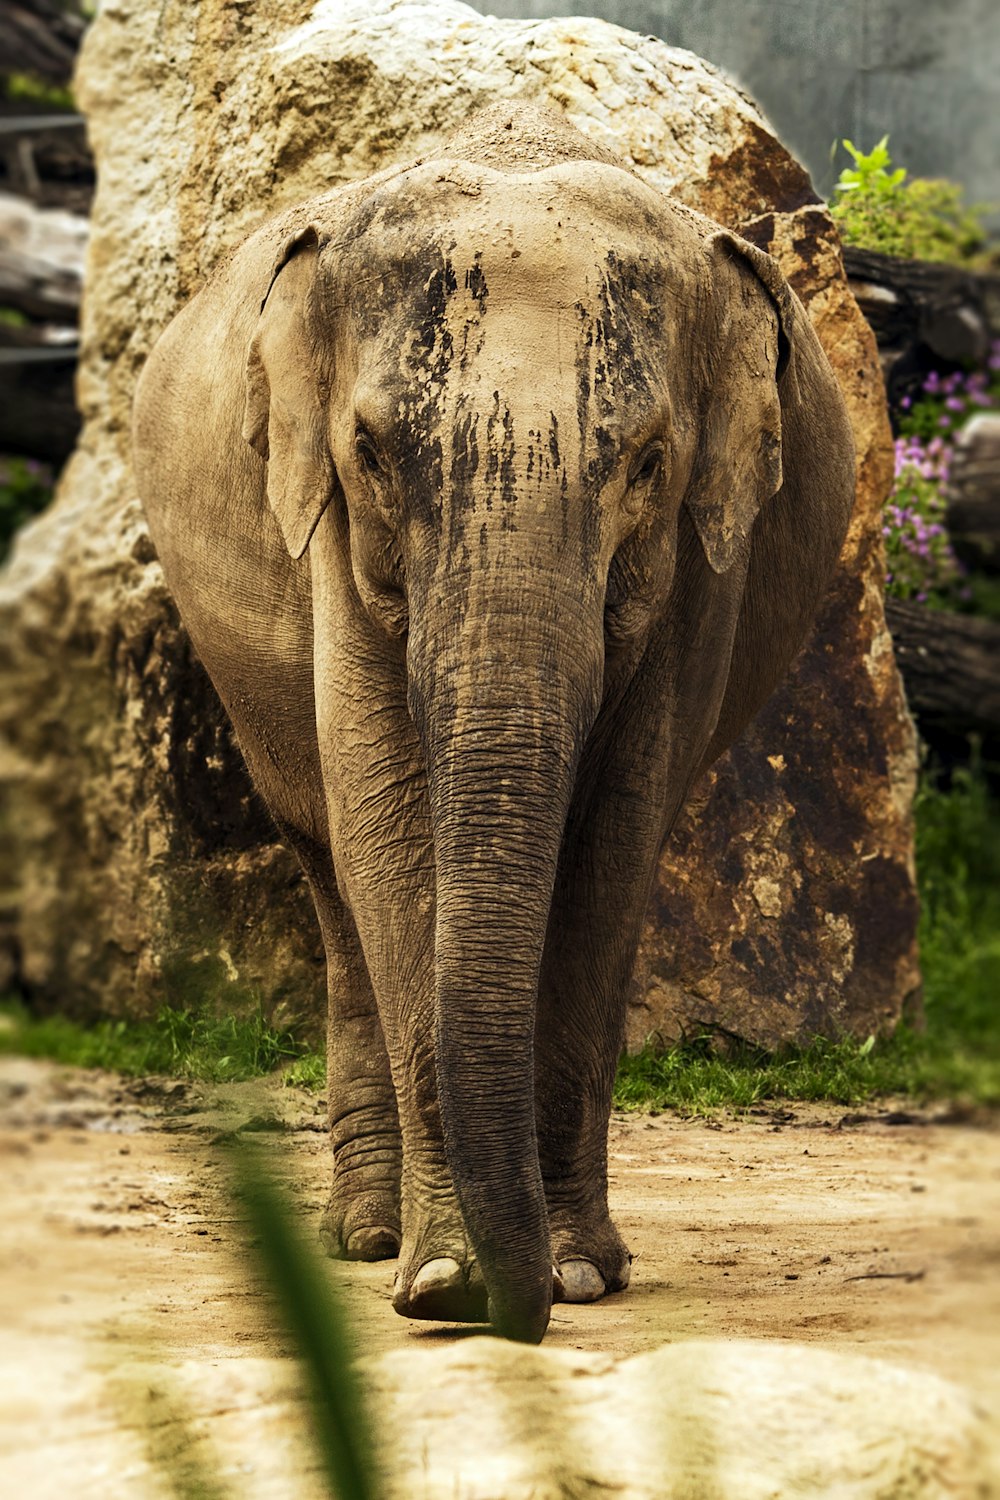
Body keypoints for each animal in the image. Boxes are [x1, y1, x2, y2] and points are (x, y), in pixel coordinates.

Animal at [131, 105, 851, 1350]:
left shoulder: (700, 562)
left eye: (649, 463)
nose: (512, 1310)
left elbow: (615, 839)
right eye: (371, 453)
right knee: (330, 869)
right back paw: (367, 1238)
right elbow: (383, 813)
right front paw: (444, 1285)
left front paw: (572, 1275)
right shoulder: (329, 525)